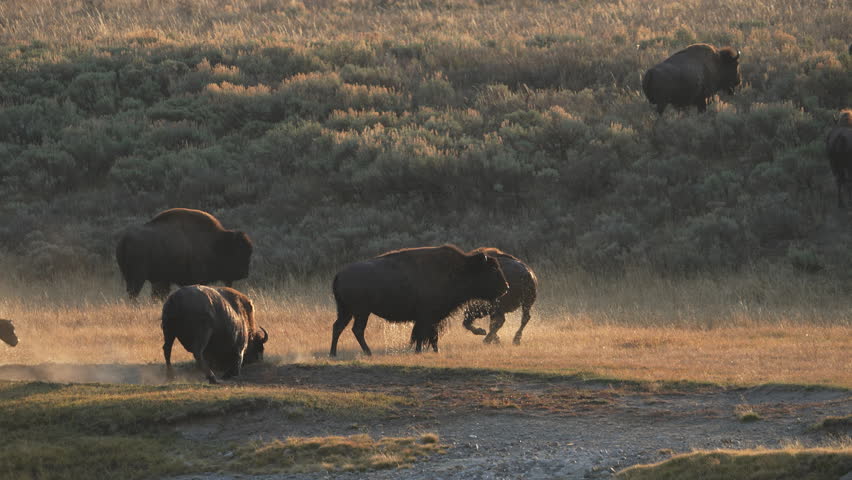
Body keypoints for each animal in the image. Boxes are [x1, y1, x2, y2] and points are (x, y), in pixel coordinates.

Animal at [116, 208, 253, 300]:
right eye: (238, 252)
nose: (245, 273)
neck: (217, 243)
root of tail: (124, 239)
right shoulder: (198, 277)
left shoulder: (163, 280)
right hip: (137, 276)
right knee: (134, 293)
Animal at [330, 245, 509, 356]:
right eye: (492, 269)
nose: (506, 287)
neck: (461, 269)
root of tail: (339, 274)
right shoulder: (426, 316)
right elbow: (423, 334)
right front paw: (420, 351)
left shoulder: (432, 317)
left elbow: (431, 335)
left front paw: (435, 351)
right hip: (361, 312)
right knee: (357, 329)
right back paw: (368, 352)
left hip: (346, 311)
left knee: (338, 327)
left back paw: (333, 354)